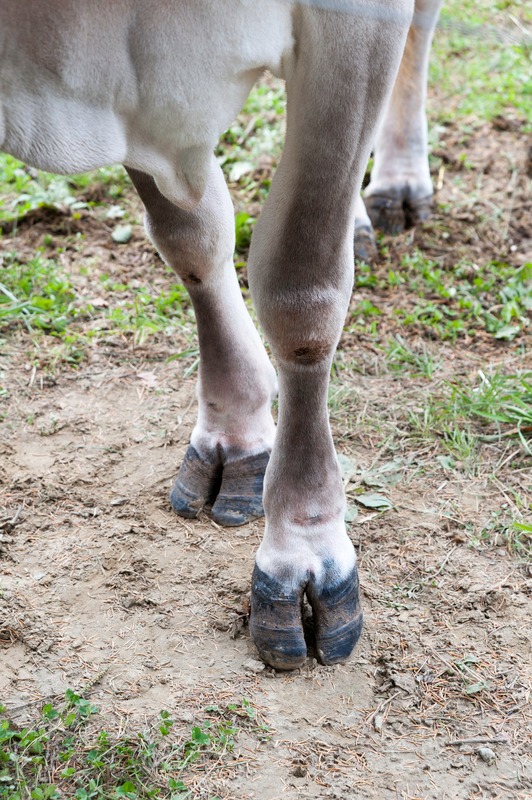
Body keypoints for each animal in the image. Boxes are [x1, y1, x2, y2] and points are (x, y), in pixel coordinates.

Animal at [1, 0, 441, 670]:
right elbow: (191, 238)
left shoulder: (353, 28)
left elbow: (301, 291)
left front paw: (303, 548)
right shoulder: (131, 93)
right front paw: (236, 432)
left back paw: (399, 184)